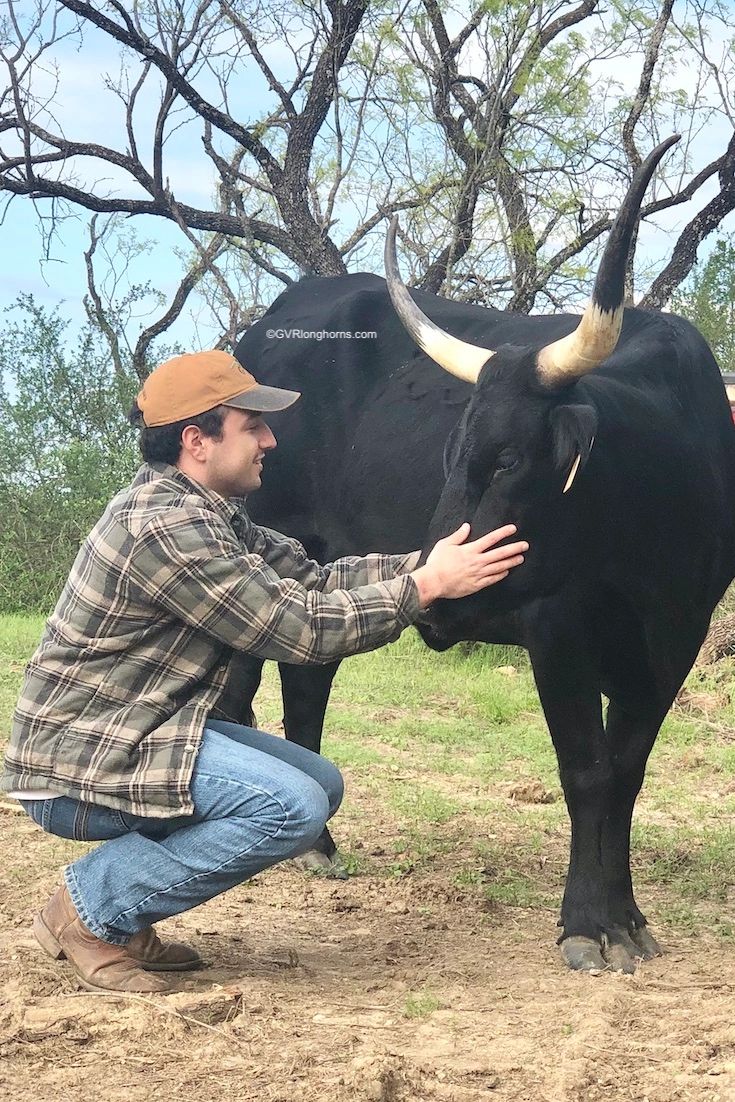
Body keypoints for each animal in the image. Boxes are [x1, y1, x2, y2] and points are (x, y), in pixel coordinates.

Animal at [232, 139, 735, 974]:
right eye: (449, 452)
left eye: (505, 460)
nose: (434, 595)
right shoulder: (558, 629)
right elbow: (586, 770)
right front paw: (586, 925)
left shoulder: (675, 641)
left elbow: (626, 773)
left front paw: (628, 918)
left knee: (306, 683)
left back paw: (320, 849)